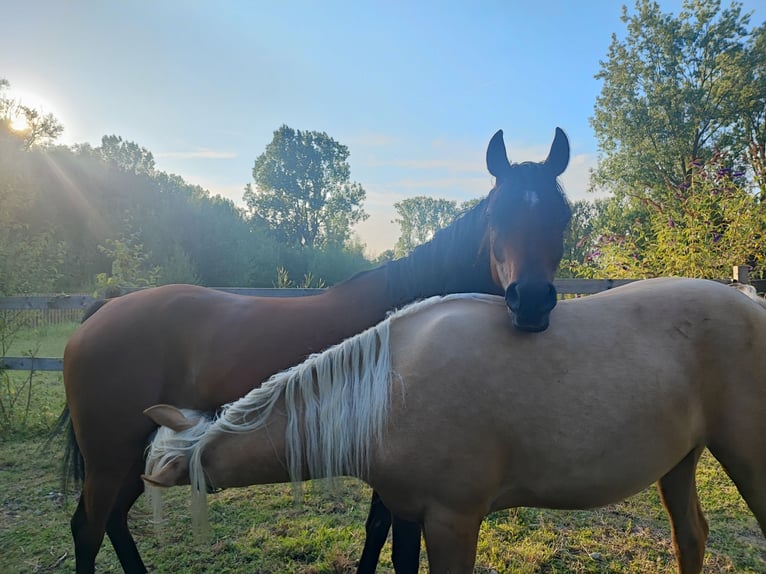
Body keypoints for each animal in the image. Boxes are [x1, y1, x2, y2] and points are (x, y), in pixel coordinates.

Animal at [61, 128, 576, 572]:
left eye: (562, 216)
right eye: (496, 216)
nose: (531, 301)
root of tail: (103, 311)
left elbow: (376, 530)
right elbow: (396, 545)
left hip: (136, 454)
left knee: (112, 521)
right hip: (110, 457)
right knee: (88, 528)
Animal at [142, 276, 766, 572]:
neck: (390, 389)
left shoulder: (454, 520)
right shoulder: (408, 512)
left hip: (746, 458)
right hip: (680, 460)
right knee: (692, 537)